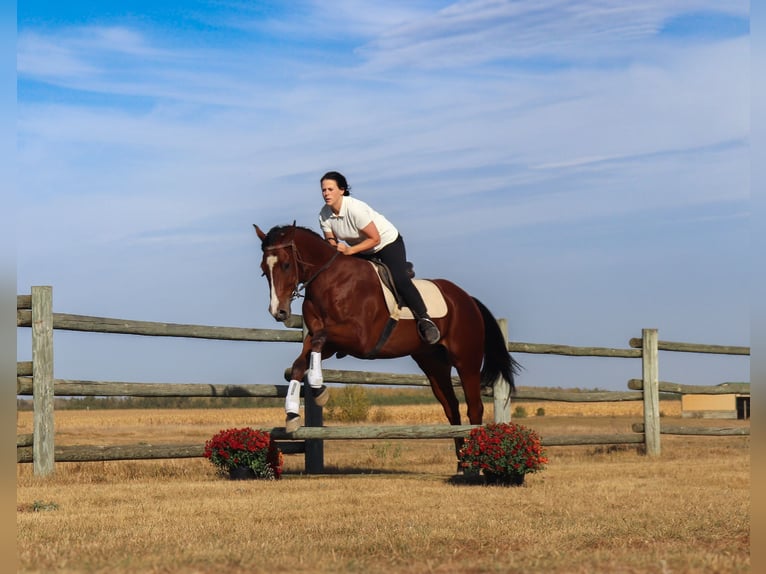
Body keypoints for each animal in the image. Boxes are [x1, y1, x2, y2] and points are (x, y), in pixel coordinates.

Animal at [254, 223, 520, 462]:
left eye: (286, 265)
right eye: (264, 270)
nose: (278, 312)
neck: (330, 281)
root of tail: (468, 299)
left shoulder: (359, 338)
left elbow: (318, 344)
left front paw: (319, 388)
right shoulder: (330, 340)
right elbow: (301, 362)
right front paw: (291, 414)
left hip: (467, 361)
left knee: (474, 407)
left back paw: (474, 460)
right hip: (434, 365)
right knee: (451, 407)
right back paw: (461, 460)